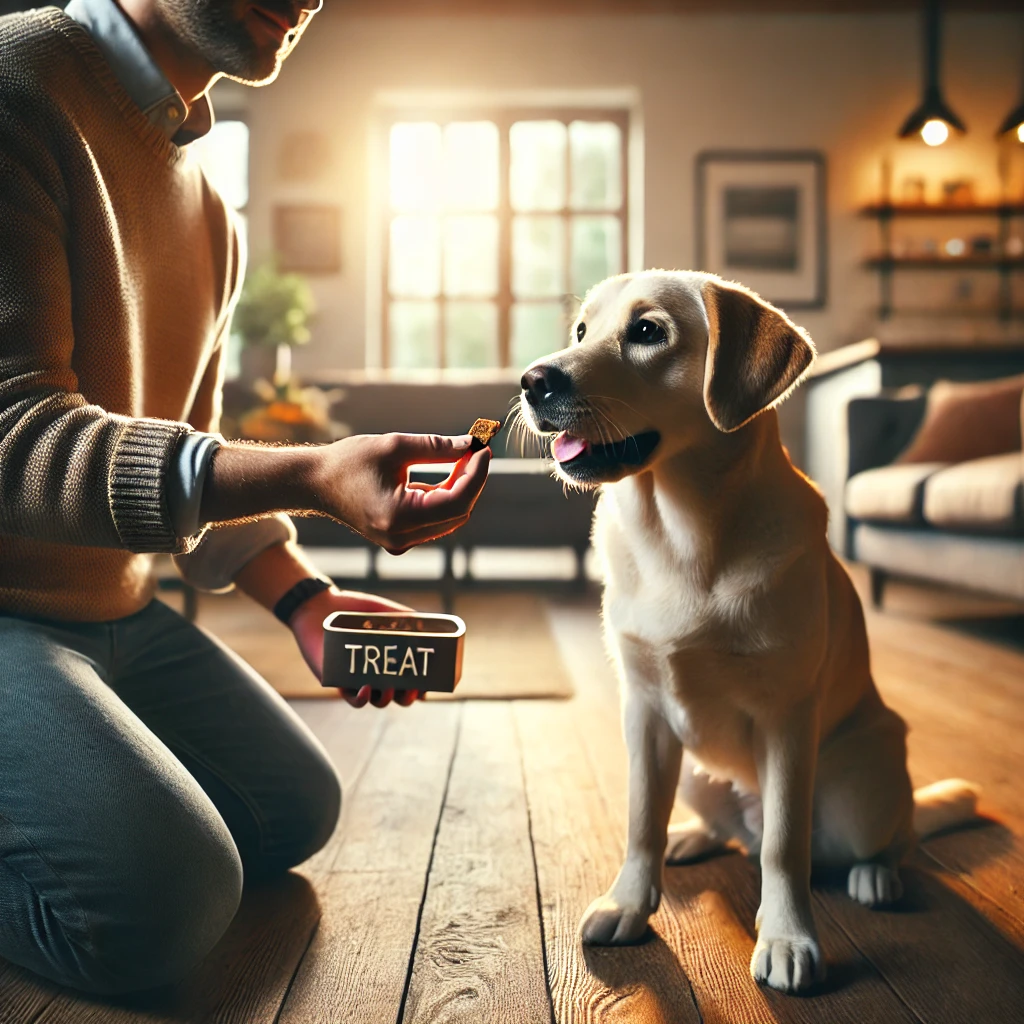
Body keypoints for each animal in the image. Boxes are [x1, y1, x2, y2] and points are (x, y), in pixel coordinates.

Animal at [516, 270, 978, 991]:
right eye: (582, 331)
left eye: (646, 331)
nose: (532, 381)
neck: (680, 535)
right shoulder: (644, 712)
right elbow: (640, 821)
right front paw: (630, 902)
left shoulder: (786, 718)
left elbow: (785, 849)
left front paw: (787, 938)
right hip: (697, 771)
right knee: (729, 832)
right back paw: (692, 836)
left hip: (862, 786)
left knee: (882, 838)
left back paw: (877, 876)